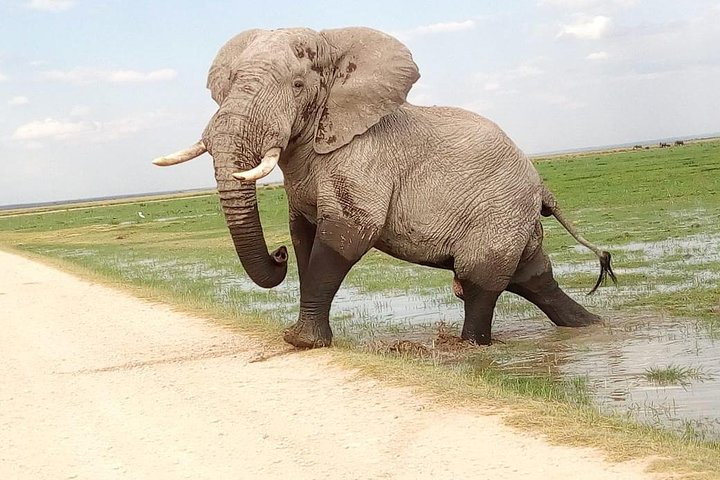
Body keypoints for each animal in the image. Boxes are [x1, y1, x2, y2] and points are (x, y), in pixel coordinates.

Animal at [155, 27, 616, 348]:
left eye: (298, 86)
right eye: (230, 84)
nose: (276, 254)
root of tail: (541, 186)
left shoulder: (364, 158)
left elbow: (345, 235)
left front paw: (301, 343)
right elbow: (304, 238)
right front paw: (302, 332)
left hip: (499, 211)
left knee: (481, 284)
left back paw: (472, 349)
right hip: (511, 217)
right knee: (533, 278)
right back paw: (593, 327)